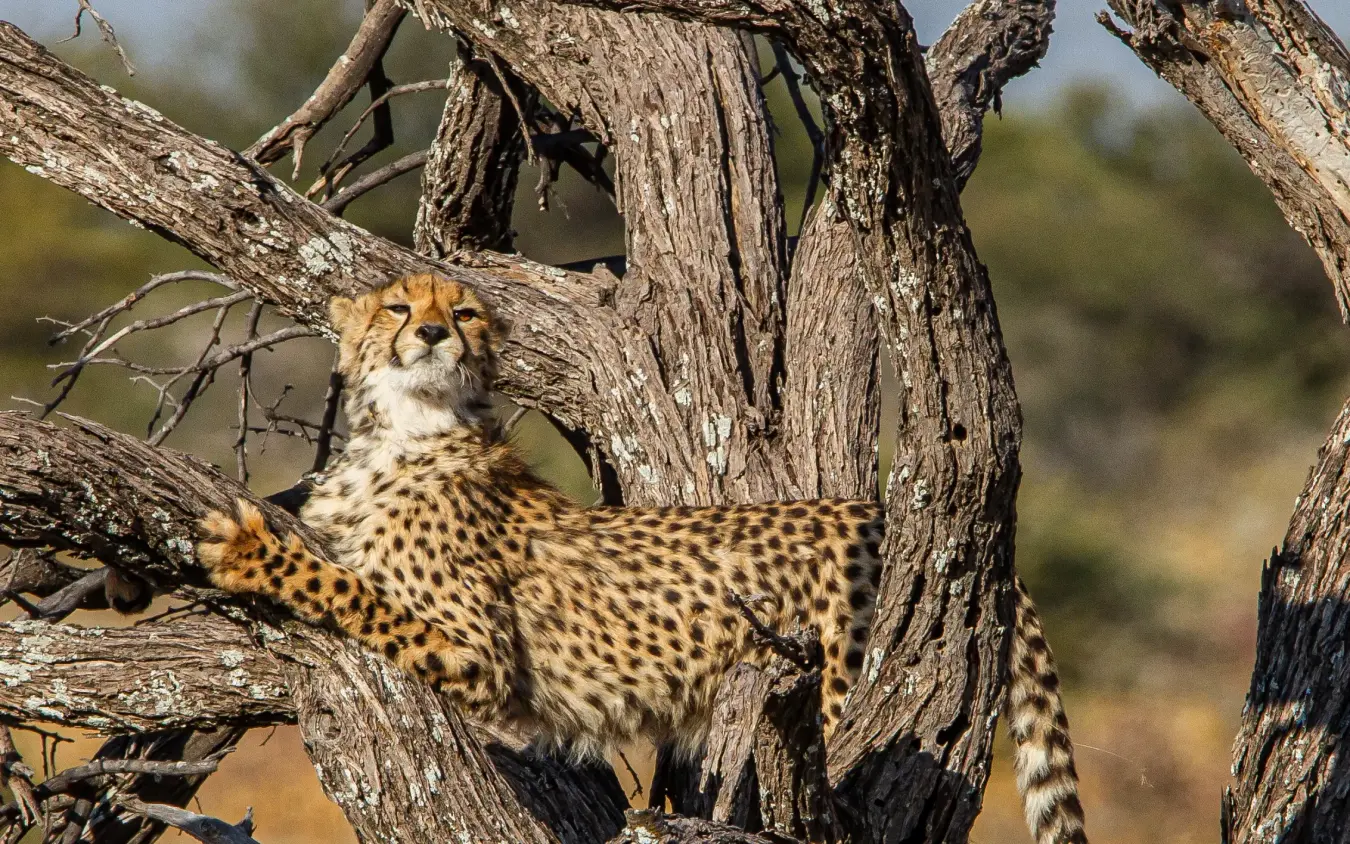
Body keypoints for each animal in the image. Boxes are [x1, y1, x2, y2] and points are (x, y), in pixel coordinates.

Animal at [198, 273, 1087, 844]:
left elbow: (350, 589)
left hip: (829, 683)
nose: (433, 331)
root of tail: (876, 505)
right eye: (396, 305)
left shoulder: (481, 660)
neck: (407, 429)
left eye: (466, 310)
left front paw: (248, 548)